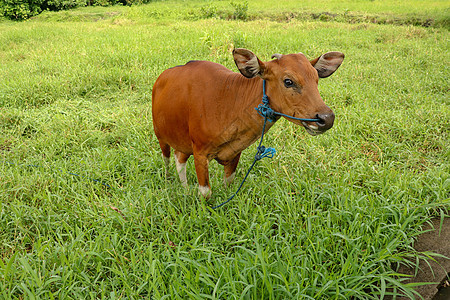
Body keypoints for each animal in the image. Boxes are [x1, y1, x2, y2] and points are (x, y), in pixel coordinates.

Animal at [152, 48, 344, 198]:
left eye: (316, 79)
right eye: (288, 81)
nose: (326, 118)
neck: (229, 101)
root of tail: (161, 78)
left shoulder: (235, 153)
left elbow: (228, 184)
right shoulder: (200, 152)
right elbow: (206, 193)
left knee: (179, 158)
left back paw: (185, 189)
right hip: (160, 136)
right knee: (167, 159)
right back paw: (169, 180)